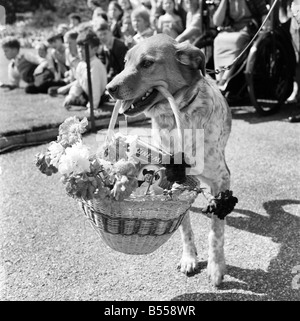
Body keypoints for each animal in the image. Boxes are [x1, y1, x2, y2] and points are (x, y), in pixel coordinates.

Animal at [106, 34, 232, 284]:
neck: (177, 117)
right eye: (125, 62)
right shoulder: (167, 169)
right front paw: (189, 258)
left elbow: (217, 230)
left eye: (147, 63)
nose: (109, 89)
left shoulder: (221, 179)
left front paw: (216, 267)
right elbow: (184, 225)